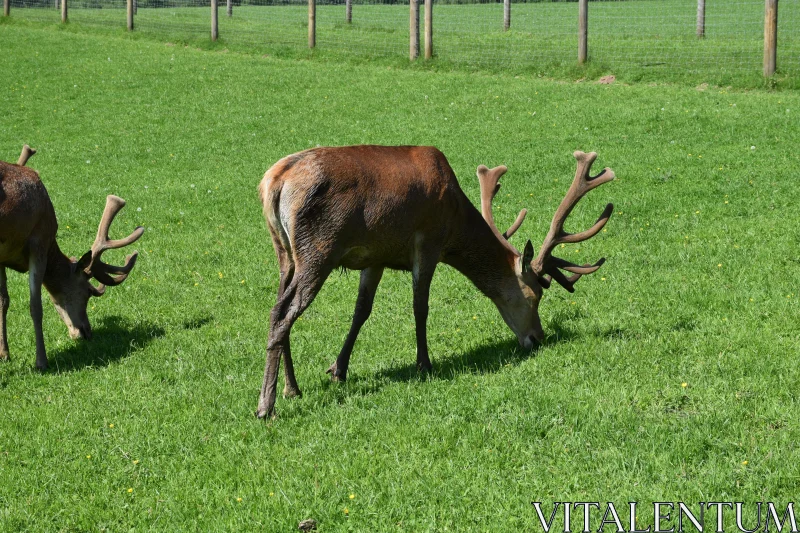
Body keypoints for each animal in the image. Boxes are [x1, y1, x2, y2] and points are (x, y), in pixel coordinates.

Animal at [0, 145, 144, 370]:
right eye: (87, 292)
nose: (86, 332)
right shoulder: (39, 242)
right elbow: (35, 306)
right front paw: (41, 361)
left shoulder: (3, 257)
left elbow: (3, 301)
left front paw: (4, 354)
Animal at [256, 147, 612, 420]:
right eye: (534, 294)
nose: (537, 338)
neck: (455, 226)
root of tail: (274, 181)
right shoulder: (427, 242)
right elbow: (420, 307)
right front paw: (424, 365)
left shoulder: (376, 256)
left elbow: (361, 311)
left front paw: (338, 370)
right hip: (319, 248)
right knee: (282, 314)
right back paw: (266, 406)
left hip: (285, 251)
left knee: (277, 308)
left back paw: (292, 388)